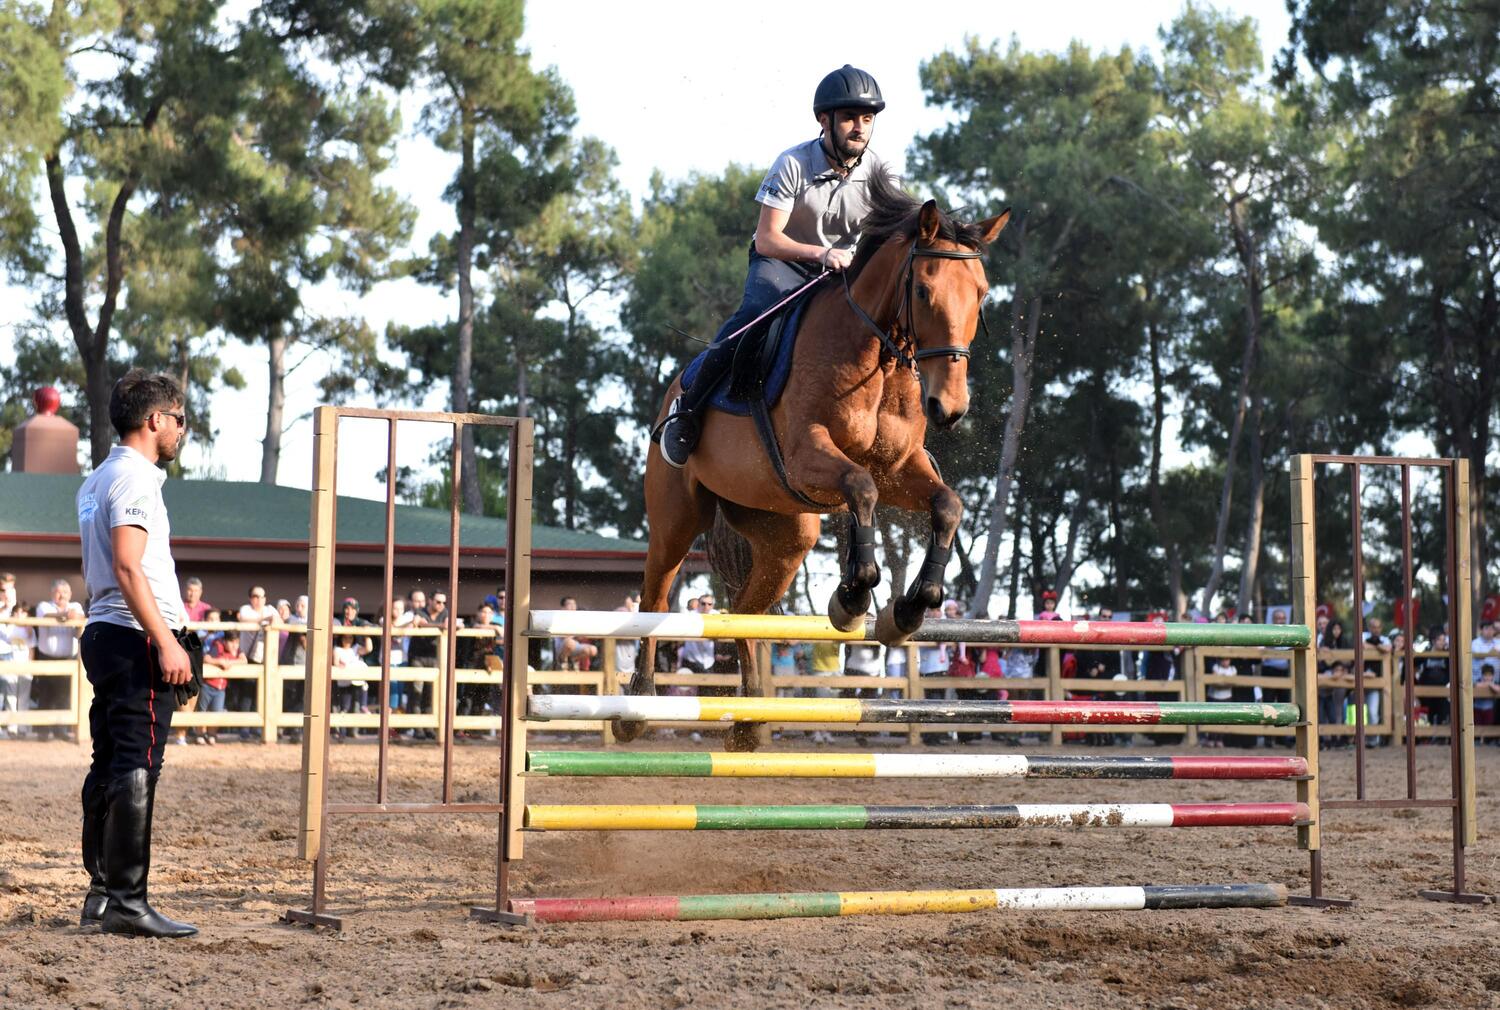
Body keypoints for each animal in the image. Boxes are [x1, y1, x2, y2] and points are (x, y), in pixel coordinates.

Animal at [615, 179, 1014, 747]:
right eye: (922, 291)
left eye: (979, 294)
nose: (950, 408)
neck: (878, 358)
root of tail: (671, 394)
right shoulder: (809, 454)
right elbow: (862, 487)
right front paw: (851, 599)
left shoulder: (901, 469)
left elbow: (947, 504)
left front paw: (908, 609)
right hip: (677, 518)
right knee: (655, 600)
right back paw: (637, 706)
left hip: (787, 534)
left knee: (744, 614)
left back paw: (749, 724)